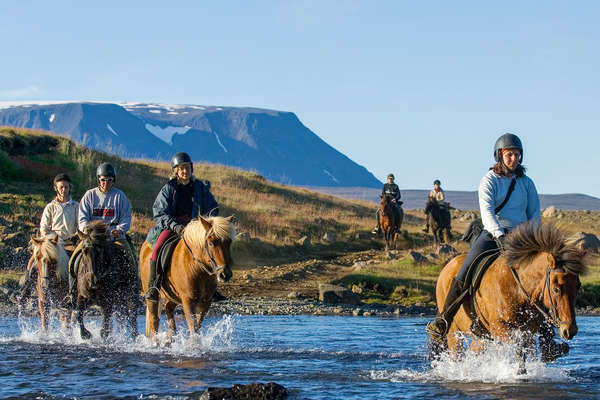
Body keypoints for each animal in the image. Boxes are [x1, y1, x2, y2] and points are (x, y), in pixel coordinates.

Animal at [432, 222, 584, 372]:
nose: (570, 330)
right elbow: (519, 353)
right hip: (454, 333)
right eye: (556, 289)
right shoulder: (500, 328)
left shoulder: (528, 331)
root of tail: (447, 267)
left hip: (481, 338)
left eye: (578, 286)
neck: (517, 289)